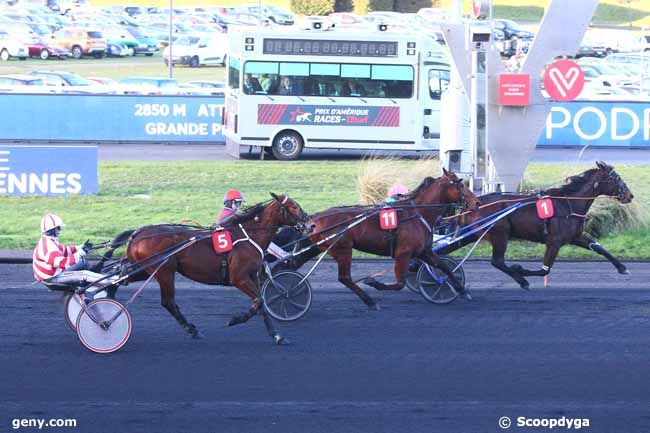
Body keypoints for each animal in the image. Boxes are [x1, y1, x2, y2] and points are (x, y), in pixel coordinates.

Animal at [124, 192, 314, 344]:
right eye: (294, 206)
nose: (311, 225)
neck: (249, 236)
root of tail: (137, 234)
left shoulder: (253, 276)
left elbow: (261, 303)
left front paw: (277, 336)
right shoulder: (239, 278)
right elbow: (260, 300)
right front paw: (235, 319)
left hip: (146, 270)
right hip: (165, 272)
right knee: (168, 302)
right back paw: (192, 330)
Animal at [282, 169, 476, 308]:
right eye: (460, 185)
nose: (477, 203)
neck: (418, 213)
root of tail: (315, 217)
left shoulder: (424, 251)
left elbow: (444, 267)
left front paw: (461, 290)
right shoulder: (403, 253)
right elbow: (399, 283)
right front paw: (374, 282)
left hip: (318, 247)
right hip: (343, 249)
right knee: (344, 278)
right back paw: (369, 300)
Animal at [438, 160, 632, 288]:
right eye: (616, 178)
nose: (630, 195)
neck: (568, 203)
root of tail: (471, 204)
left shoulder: (575, 236)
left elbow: (598, 247)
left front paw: (622, 267)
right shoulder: (554, 241)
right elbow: (545, 270)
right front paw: (520, 269)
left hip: (471, 235)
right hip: (500, 234)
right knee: (497, 261)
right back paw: (521, 280)